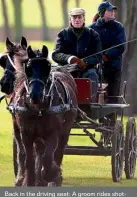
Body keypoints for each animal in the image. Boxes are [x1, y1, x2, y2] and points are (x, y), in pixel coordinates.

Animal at [8, 44, 77, 186]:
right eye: (28, 68)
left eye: (47, 67)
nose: (36, 95)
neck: (38, 109)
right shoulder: (26, 134)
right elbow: (29, 158)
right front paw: (29, 181)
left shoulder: (53, 133)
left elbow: (48, 157)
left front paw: (53, 174)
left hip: (65, 129)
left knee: (58, 151)